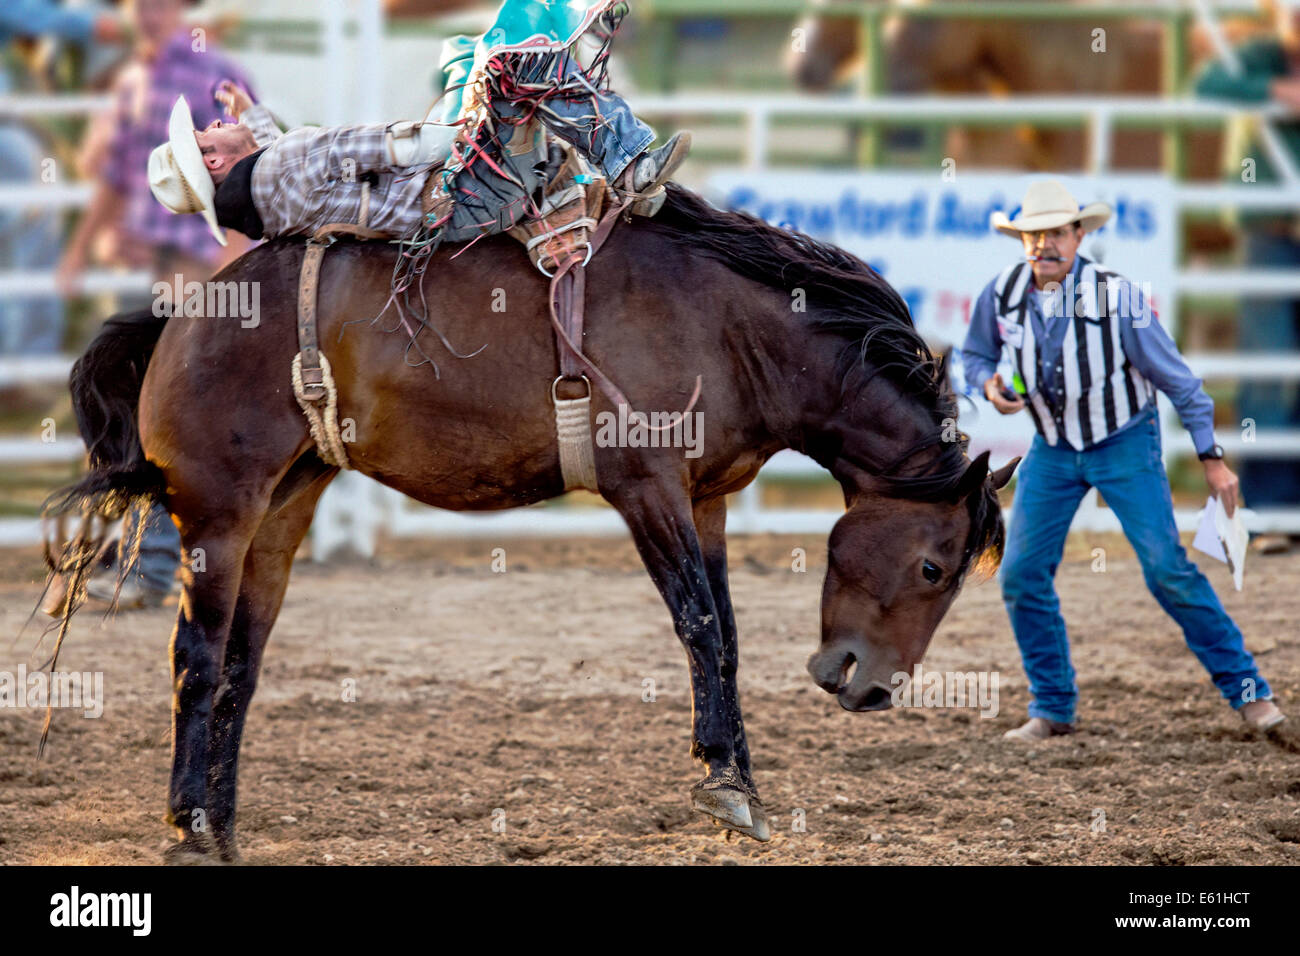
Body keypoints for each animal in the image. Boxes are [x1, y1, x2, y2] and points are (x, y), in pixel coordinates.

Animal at [44, 182, 1016, 862]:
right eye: (934, 569)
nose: (871, 688)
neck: (729, 327)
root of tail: (184, 314)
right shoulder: (646, 488)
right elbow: (700, 626)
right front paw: (726, 787)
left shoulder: (706, 499)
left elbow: (728, 635)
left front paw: (739, 781)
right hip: (218, 511)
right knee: (196, 657)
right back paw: (186, 823)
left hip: (283, 510)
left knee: (241, 666)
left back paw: (224, 827)